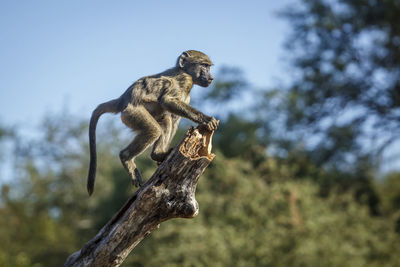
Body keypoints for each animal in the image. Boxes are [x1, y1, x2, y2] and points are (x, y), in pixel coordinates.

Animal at [86, 50, 220, 197]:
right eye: (204, 65)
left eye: (208, 67)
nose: (211, 78)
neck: (183, 70)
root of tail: (123, 99)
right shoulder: (185, 80)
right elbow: (168, 101)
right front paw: (206, 119)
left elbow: (173, 117)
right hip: (131, 113)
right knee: (154, 129)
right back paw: (126, 157)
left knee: (166, 119)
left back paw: (157, 154)